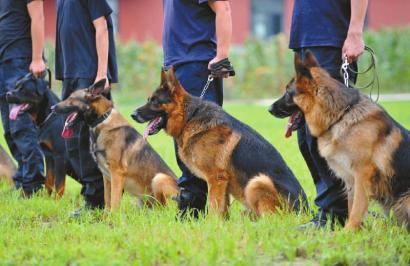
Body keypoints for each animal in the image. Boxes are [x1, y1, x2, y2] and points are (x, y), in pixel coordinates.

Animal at [52, 80, 179, 211]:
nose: (52, 108)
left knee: (165, 208)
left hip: (159, 179)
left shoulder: (116, 174)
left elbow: (114, 201)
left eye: (71, 98)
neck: (102, 120)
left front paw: (113, 215)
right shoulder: (107, 176)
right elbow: (107, 199)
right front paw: (106, 215)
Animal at [131, 68, 308, 218]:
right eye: (149, 99)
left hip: (258, 182)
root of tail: (305, 211)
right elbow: (222, 210)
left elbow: (213, 207)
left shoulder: (216, 179)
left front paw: (212, 226)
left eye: (155, 101)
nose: (132, 114)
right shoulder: (222, 184)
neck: (190, 117)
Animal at [270, 50, 410, 231]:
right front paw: (354, 231)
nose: (269, 109)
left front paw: (347, 232)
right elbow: (351, 207)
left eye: (288, 93)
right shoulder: (350, 180)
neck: (340, 116)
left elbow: (357, 208)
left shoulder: (362, 176)